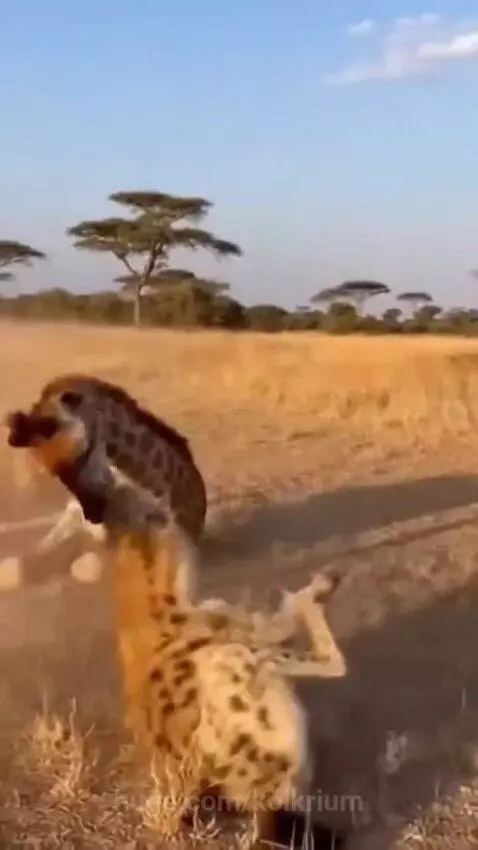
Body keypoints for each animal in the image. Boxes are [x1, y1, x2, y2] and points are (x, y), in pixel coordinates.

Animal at [5, 400, 347, 849]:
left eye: (49, 416)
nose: (94, 500)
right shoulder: (236, 635)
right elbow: (291, 629)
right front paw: (313, 589)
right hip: (232, 670)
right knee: (328, 661)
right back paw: (322, 586)